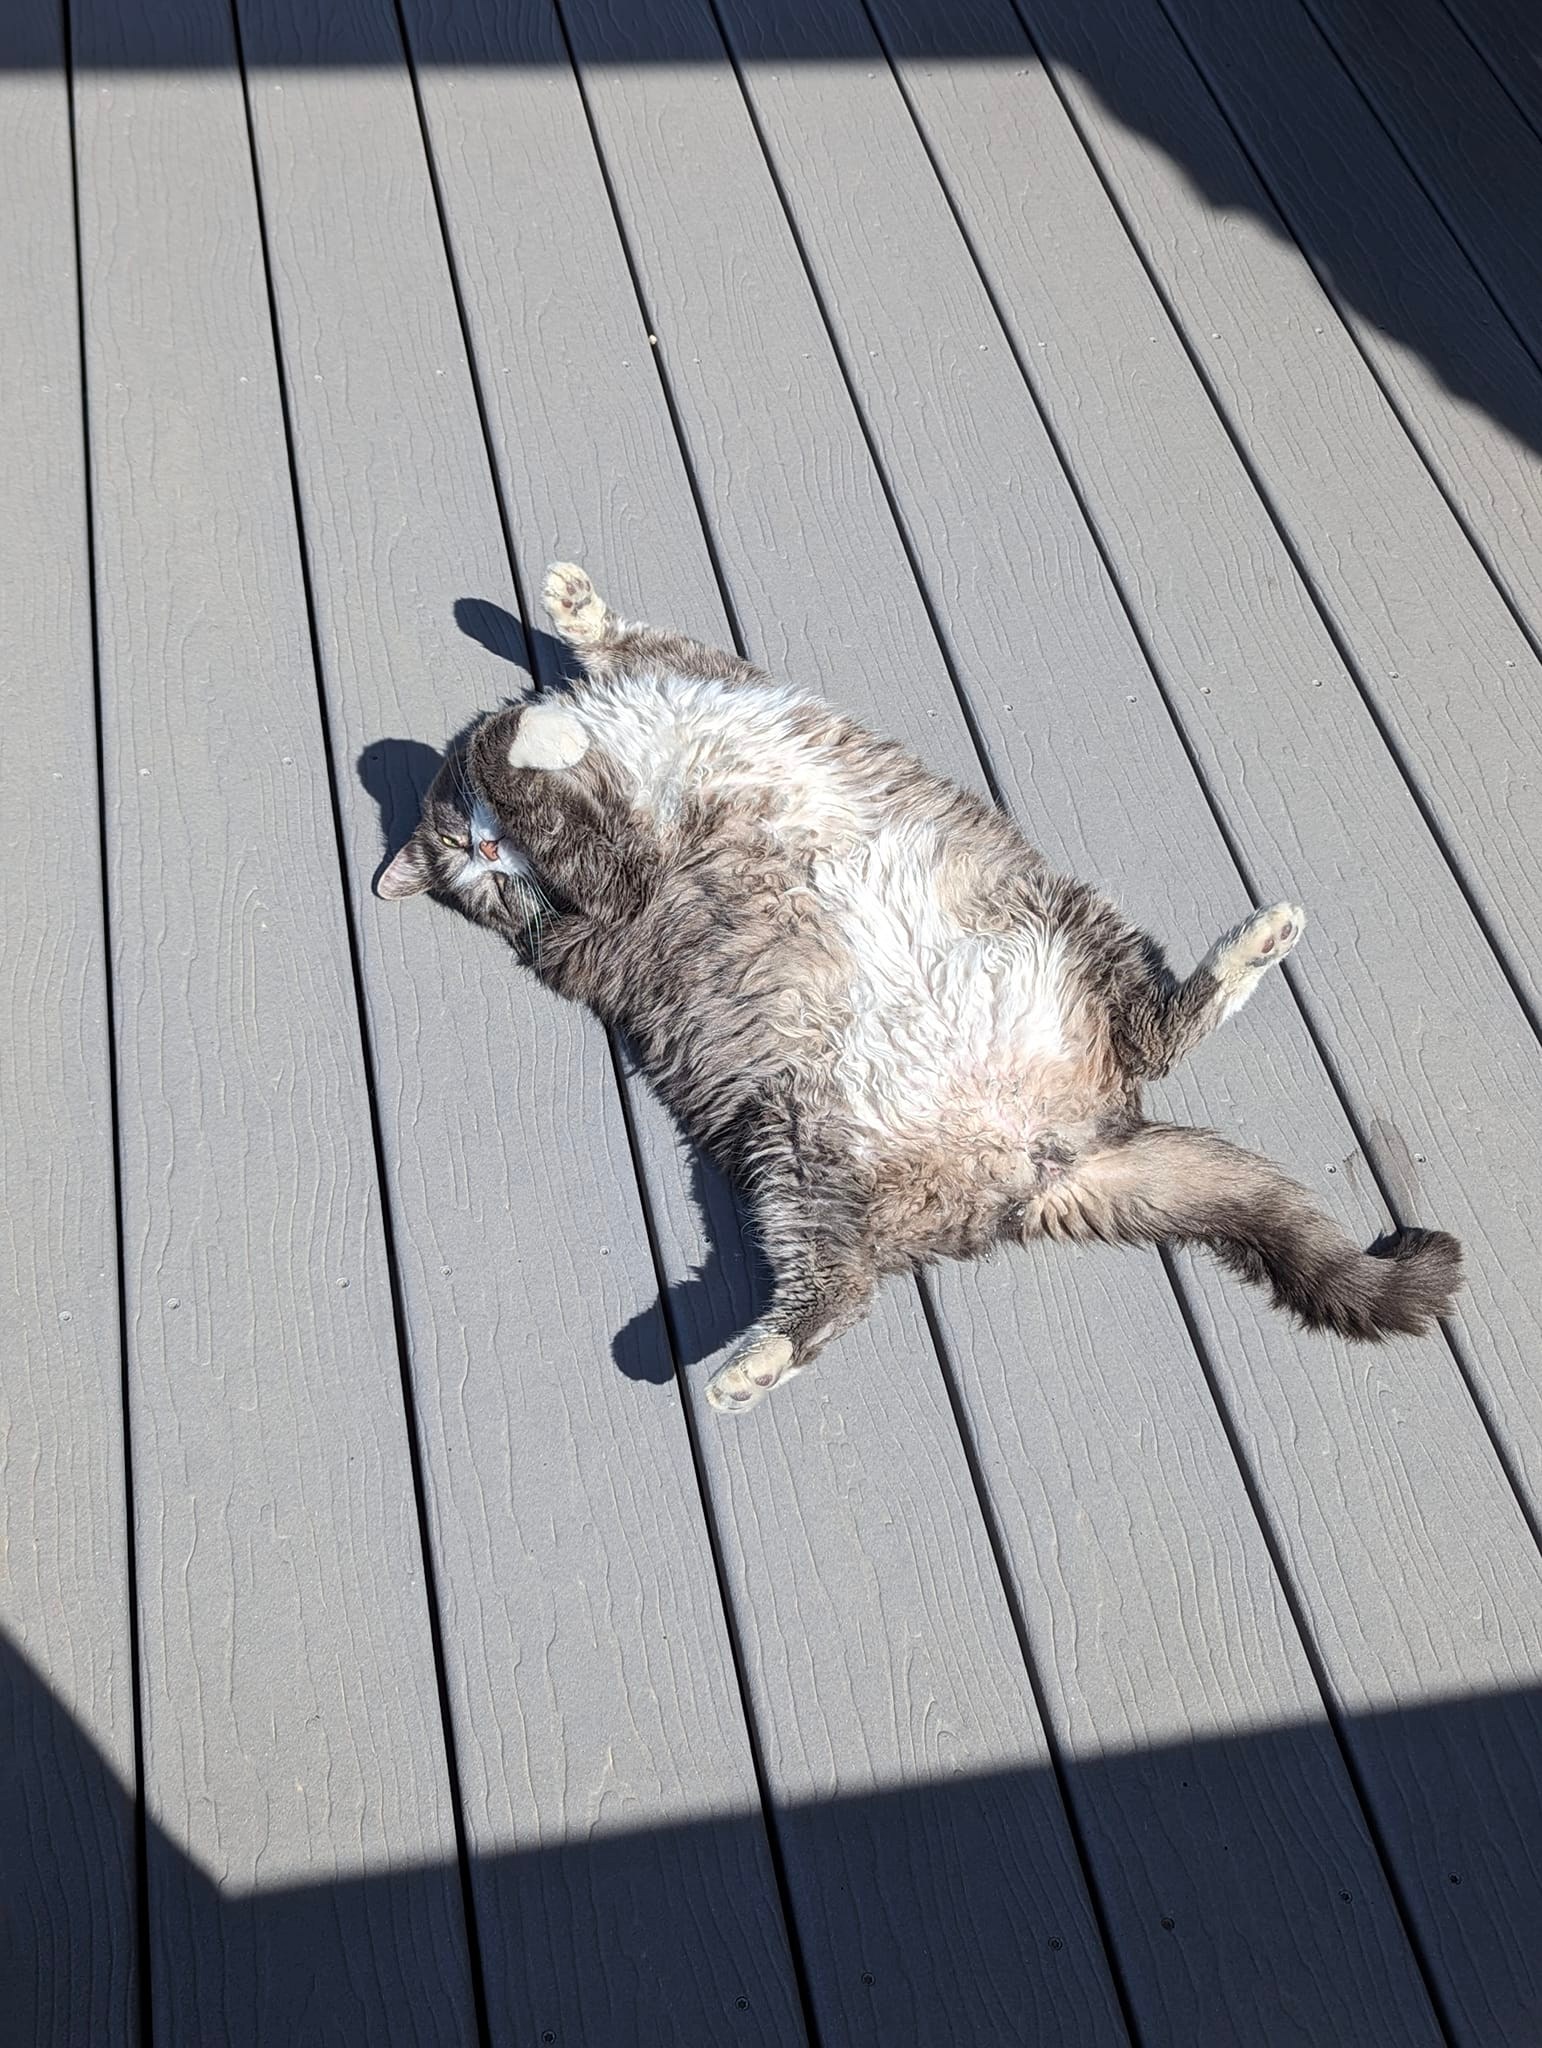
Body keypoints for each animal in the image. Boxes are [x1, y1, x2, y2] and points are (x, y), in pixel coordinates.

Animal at [378, 562, 1462, 1412]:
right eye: (470, 877)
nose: (481, 852)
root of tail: (1059, 1151)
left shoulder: (697, 671)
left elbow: (613, 640)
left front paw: (558, 622)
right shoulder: (618, 878)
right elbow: (540, 780)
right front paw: (525, 738)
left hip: (1062, 935)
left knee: (1154, 1030)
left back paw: (1253, 947)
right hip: (800, 1150)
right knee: (845, 1287)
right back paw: (751, 1367)